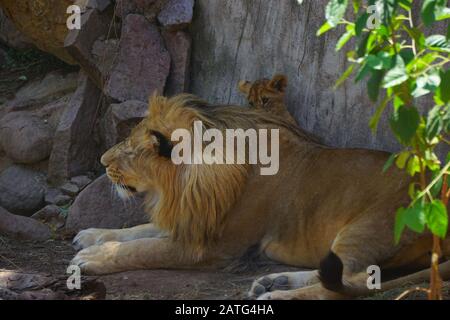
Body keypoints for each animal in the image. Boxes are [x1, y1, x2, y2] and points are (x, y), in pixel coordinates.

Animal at [72, 90, 448, 300]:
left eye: (131, 150)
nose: (103, 161)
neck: (186, 185)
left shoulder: (211, 247)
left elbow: (144, 249)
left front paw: (91, 258)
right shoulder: (191, 218)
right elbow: (137, 231)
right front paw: (91, 236)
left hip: (368, 227)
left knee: (352, 281)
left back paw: (279, 295)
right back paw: (271, 281)